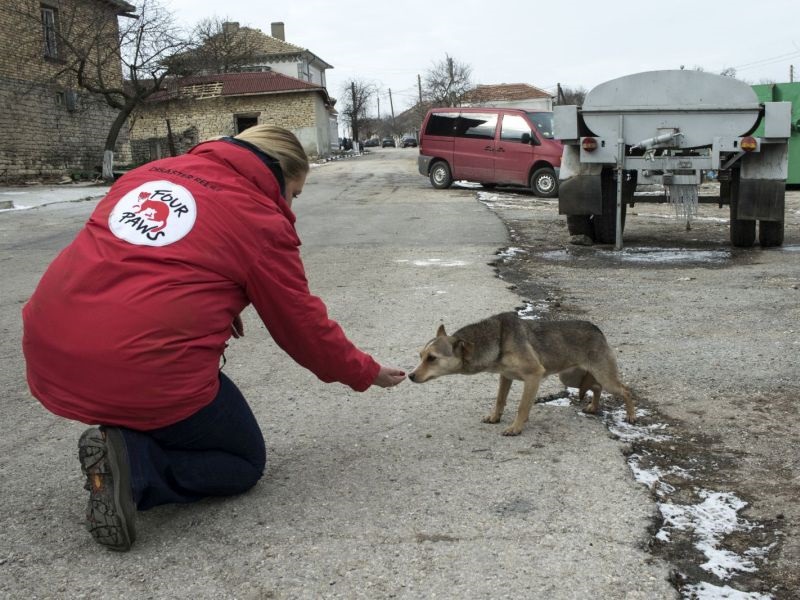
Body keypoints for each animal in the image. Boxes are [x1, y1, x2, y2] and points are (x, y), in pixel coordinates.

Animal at [410, 312, 636, 434]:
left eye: (432, 358)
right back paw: (593, 407)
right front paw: (495, 417)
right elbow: (500, 400)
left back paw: (631, 416)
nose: (410, 376)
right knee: (596, 387)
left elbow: (522, 406)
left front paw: (516, 428)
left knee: (625, 390)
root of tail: (597, 329)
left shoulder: (533, 376)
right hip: (570, 377)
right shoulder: (505, 377)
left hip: (605, 377)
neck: (498, 339)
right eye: (421, 355)